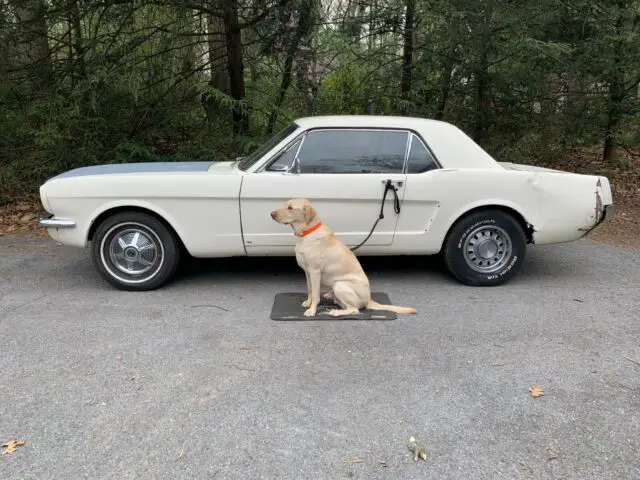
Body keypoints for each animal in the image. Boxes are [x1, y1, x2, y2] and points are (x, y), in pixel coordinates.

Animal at [268, 199, 416, 318]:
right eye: (285, 205)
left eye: (290, 208)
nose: (271, 214)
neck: (306, 234)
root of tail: (369, 299)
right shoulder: (307, 272)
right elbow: (310, 290)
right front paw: (308, 303)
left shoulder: (315, 272)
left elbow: (315, 293)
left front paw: (312, 310)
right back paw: (330, 296)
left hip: (340, 285)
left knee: (355, 310)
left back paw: (335, 312)